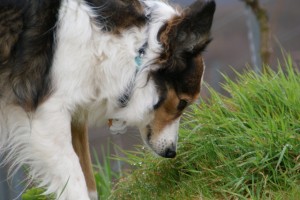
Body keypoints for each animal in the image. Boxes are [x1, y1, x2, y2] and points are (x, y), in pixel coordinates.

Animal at [0, 0, 216, 198]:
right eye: (182, 103)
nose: (171, 153)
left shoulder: (74, 114)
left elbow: (89, 182)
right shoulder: (47, 119)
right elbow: (76, 183)